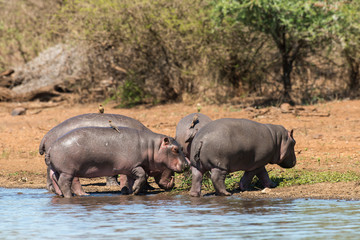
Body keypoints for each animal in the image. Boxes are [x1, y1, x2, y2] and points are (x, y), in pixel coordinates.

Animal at [45, 126, 188, 198]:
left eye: (181, 147)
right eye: (175, 149)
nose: (187, 164)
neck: (151, 147)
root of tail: (51, 147)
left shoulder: (129, 169)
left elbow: (131, 180)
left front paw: (129, 191)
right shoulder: (135, 165)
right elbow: (142, 176)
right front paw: (135, 190)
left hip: (58, 169)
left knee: (55, 178)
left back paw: (63, 195)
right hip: (67, 171)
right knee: (64, 182)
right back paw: (71, 196)